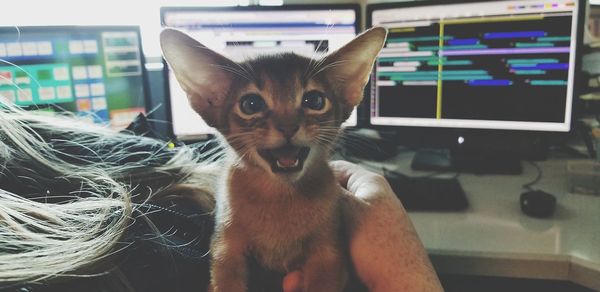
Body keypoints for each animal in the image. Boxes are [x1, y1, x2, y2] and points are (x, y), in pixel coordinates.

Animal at [161, 28, 384, 292]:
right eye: (251, 104)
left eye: (315, 101)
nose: (288, 127)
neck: (279, 197)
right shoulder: (226, 247)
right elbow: (225, 279)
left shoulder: (329, 254)